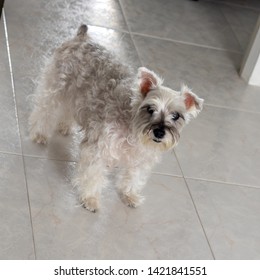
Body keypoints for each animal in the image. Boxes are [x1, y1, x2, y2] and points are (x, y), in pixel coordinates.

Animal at [28, 25, 203, 212]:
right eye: (150, 109)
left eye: (176, 115)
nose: (159, 132)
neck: (133, 125)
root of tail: (81, 37)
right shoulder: (98, 150)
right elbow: (93, 175)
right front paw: (90, 199)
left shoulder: (140, 161)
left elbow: (133, 178)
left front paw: (129, 195)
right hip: (55, 87)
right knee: (45, 110)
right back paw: (39, 134)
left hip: (75, 95)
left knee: (67, 110)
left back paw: (65, 126)